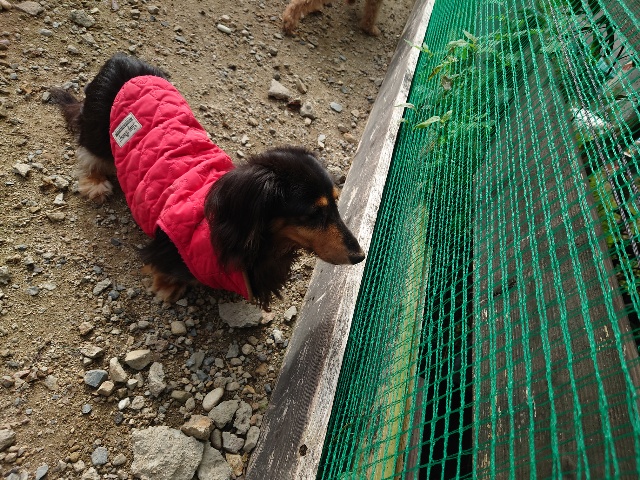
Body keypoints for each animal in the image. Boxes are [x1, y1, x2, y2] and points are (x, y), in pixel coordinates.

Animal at [49, 53, 365, 308]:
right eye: (313, 213)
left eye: (336, 203)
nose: (360, 256)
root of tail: (121, 60)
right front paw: (167, 286)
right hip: (99, 128)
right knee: (89, 151)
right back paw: (95, 183)